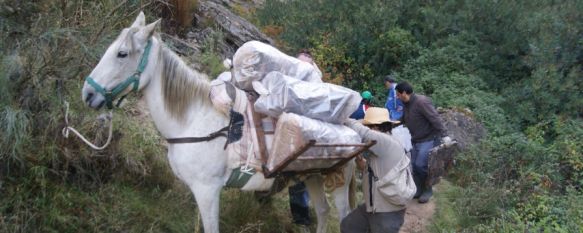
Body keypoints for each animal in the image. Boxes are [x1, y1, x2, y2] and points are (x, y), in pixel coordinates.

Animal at [80, 12, 354, 233]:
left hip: (338, 182)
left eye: (122, 53)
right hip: (313, 176)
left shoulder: (207, 191)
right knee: (322, 212)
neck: (194, 121)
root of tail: (354, 127)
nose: (88, 94)